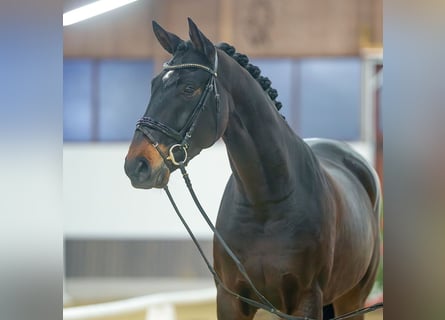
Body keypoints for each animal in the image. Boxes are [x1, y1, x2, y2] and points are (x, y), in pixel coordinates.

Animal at [123, 18, 380, 320]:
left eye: (188, 88)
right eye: (153, 85)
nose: (136, 165)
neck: (265, 203)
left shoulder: (306, 300)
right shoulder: (230, 299)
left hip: (352, 298)